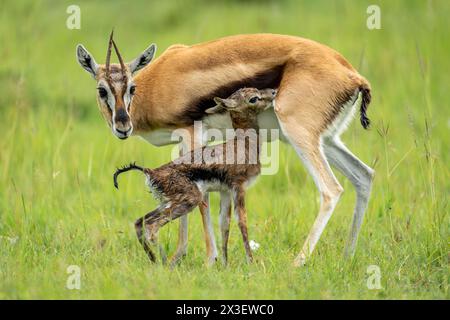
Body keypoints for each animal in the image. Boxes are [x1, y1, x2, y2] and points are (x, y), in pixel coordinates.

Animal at [113, 87, 274, 262]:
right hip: (189, 201)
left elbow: (224, 224)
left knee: (139, 223)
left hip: (166, 203)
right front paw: (251, 262)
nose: (273, 92)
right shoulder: (239, 188)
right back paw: (164, 262)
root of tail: (150, 172)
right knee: (151, 227)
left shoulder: (225, 191)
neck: (245, 144)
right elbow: (242, 222)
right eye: (253, 98)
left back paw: (156, 261)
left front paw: (225, 264)